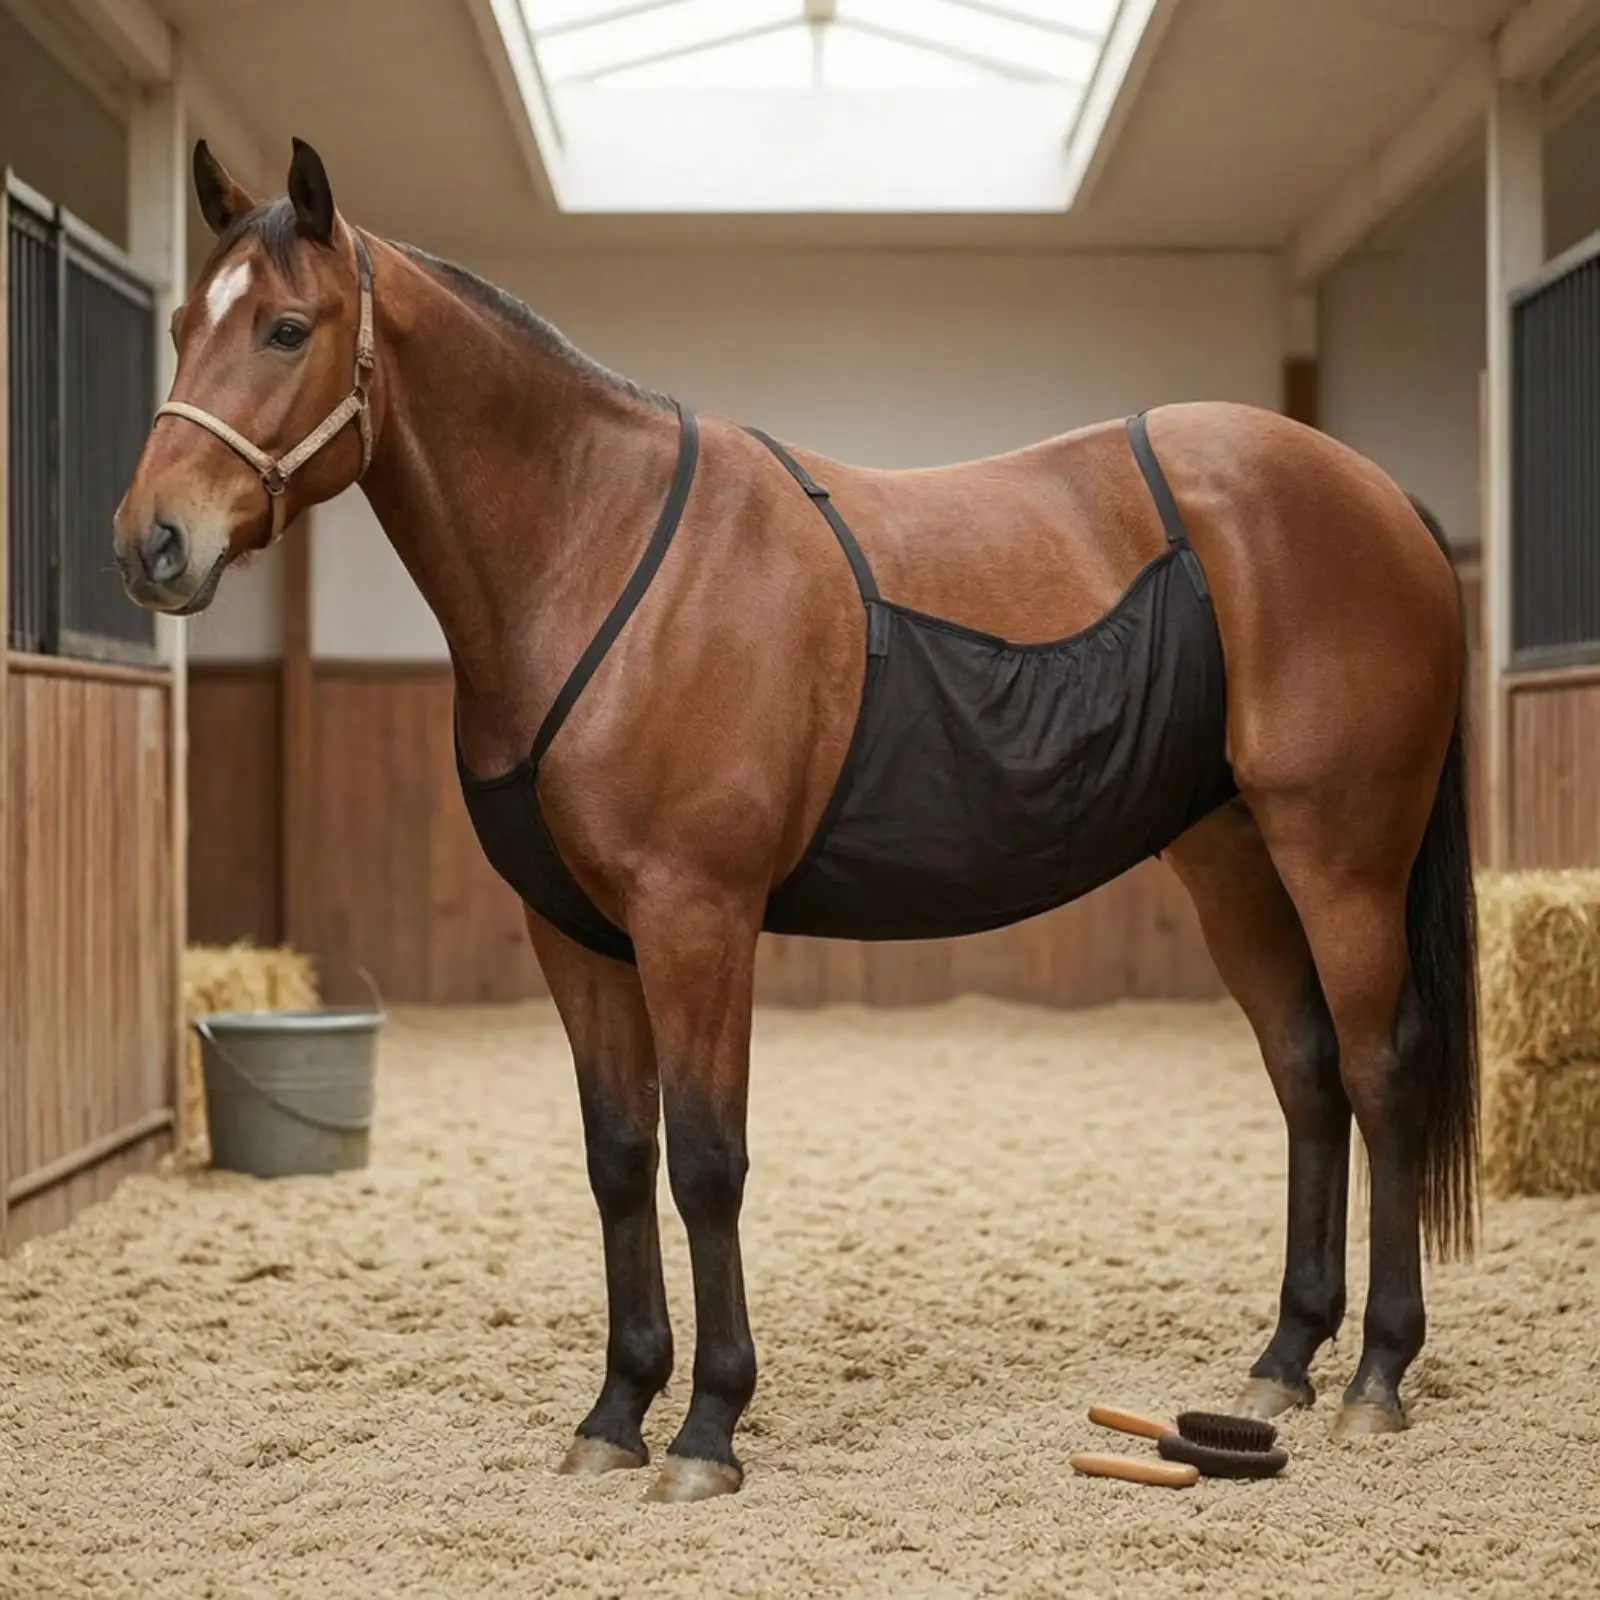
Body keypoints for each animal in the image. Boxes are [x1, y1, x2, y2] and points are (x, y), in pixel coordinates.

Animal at [114, 139, 1477, 1504]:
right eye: (180, 326)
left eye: (287, 328)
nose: (150, 543)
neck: (596, 551)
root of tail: (1378, 496)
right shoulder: (576, 934)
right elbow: (619, 1158)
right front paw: (618, 1410)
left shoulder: (698, 918)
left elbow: (707, 1163)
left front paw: (708, 1426)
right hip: (1235, 863)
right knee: (1306, 1075)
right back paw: (1284, 1357)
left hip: (1340, 859)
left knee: (1377, 1070)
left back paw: (1376, 1374)